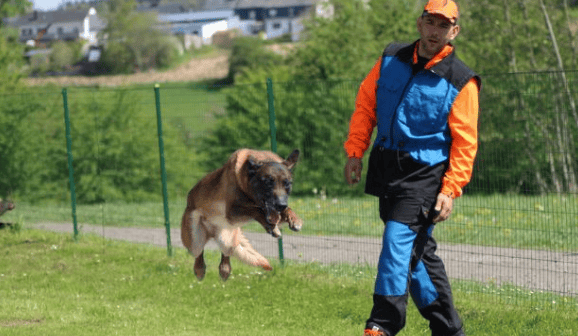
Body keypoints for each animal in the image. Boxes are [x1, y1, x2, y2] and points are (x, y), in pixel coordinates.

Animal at [180, 150, 302, 280]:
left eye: (287, 184)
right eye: (268, 182)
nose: (281, 205)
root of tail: (211, 233)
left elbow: (283, 210)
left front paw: (295, 219)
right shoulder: (232, 213)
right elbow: (256, 210)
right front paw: (271, 226)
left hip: (227, 240)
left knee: (226, 254)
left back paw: (224, 270)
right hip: (195, 241)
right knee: (198, 253)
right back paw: (199, 270)